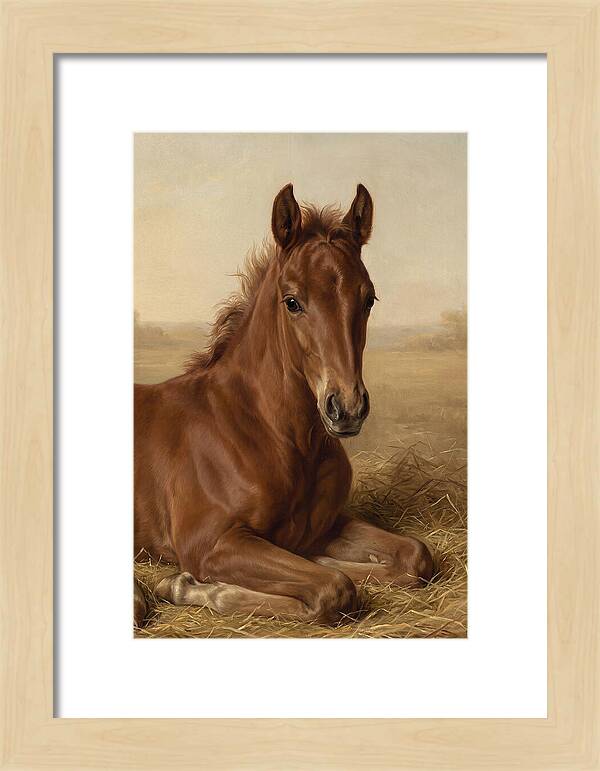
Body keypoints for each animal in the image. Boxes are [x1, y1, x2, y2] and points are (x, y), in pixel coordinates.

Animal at [134, 183, 433, 627]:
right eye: (292, 301)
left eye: (369, 299)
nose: (347, 407)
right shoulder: (209, 543)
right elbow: (334, 588)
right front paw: (185, 585)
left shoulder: (325, 525)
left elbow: (414, 556)